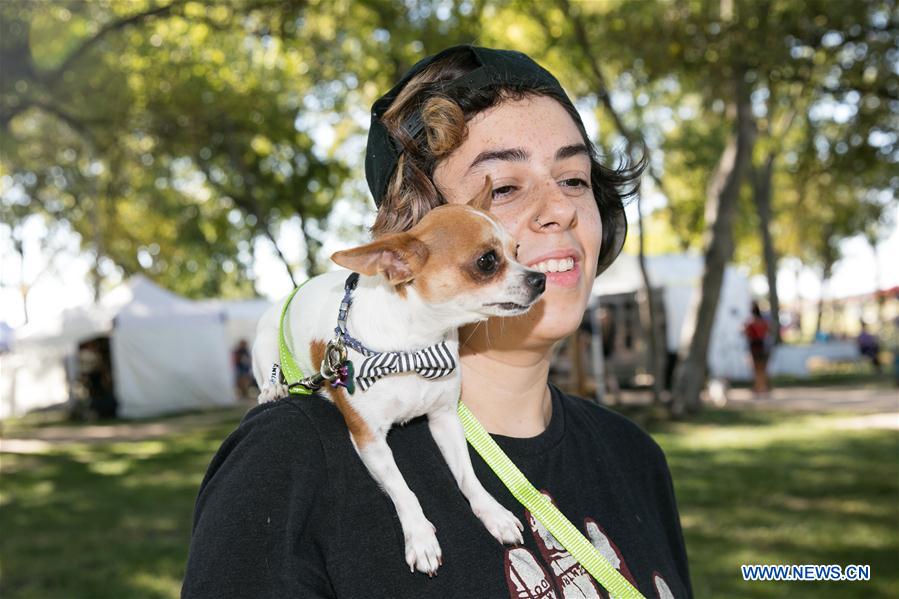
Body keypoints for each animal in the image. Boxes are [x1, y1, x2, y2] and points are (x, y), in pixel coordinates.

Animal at [255, 179, 548, 576]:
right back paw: (273, 389)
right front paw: (420, 537)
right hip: (265, 343)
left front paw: (493, 513)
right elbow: (402, 489)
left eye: (517, 250)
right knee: (267, 371)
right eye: (487, 262)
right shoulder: (369, 440)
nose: (541, 278)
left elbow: (467, 476)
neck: (414, 349)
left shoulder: (445, 419)